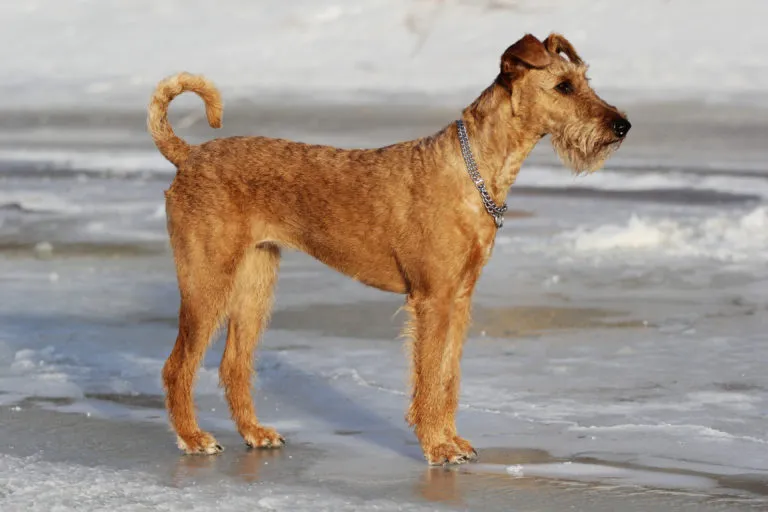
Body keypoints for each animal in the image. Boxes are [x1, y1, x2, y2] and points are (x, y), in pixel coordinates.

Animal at [148, 32, 632, 464]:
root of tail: (189, 156)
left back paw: (256, 433)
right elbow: (429, 376)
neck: (474, 168)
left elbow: (448, 377)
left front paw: (452, 440)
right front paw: (437, 447)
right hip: (207, 282)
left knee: (233, 364)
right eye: (563, 86)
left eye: (585, 78)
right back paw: (194, 438)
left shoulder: (459, 298)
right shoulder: (432, 299)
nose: (622, 125)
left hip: (255, 285)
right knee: (177, 365)